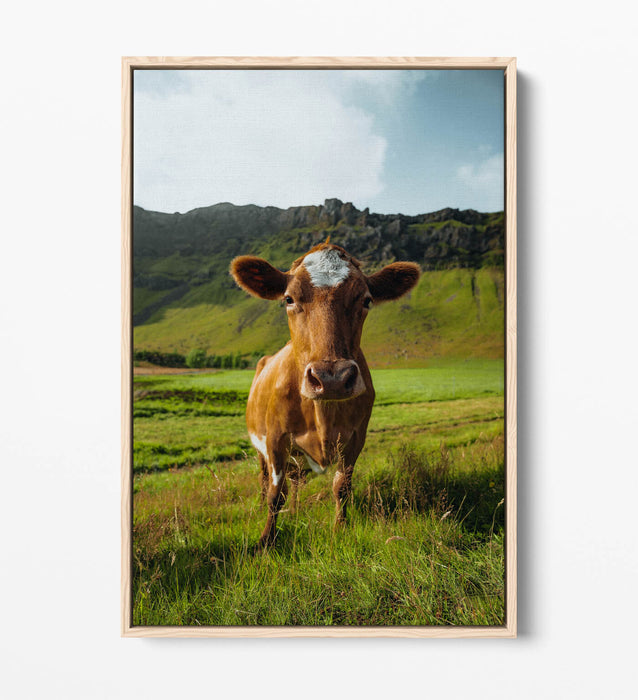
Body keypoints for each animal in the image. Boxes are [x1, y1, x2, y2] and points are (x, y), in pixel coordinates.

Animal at [230, 242, 420, 547]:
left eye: (366, 300)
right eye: (288, 299)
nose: (332, 379)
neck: (323, 415)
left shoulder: (355, 438)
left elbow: (341, 487)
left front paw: (339, 529)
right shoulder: (275, 440)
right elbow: (275, 495)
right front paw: (266, 540)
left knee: (296, 481)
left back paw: (296, 511)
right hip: (260, 447)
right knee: (264, 479)